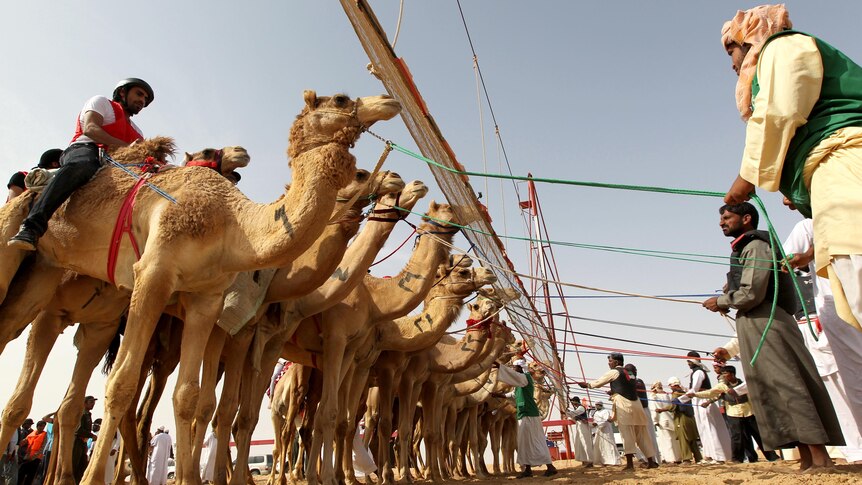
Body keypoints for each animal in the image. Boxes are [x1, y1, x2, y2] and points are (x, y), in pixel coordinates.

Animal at [0, 90, 402, 484]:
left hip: (60, 283)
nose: (389, 100)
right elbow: (120, 384)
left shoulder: (206, 301)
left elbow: (189, 397)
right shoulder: (155, 274)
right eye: (340, 99)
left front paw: (189, 477)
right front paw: (95, 479)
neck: (234, 224)